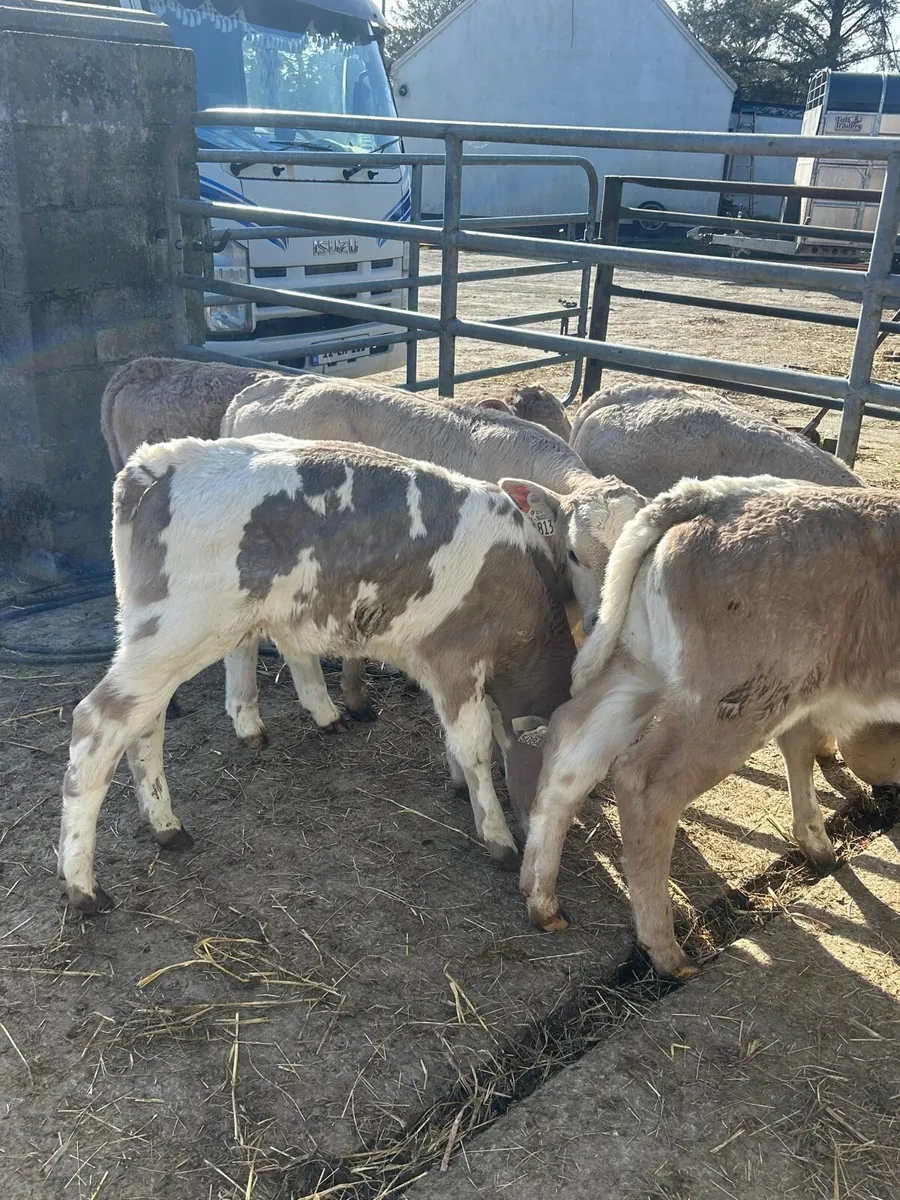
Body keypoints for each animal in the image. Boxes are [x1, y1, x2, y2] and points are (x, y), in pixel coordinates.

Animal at [58, 435, 576, 913]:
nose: (535, 830)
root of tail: (158, 460)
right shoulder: (456, 657)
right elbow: (474, 746)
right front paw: (498, 835)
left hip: (160, 635)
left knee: (146, 723)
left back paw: (164, 824)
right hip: (179, 630)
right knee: (97, 724)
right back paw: (83, 884)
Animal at [519, 475, 900, 979]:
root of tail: (714, 494)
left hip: (647, 668)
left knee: (570, 744)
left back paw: (541, 898)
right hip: (734, 700)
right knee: (647, 784)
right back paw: (666, 952)